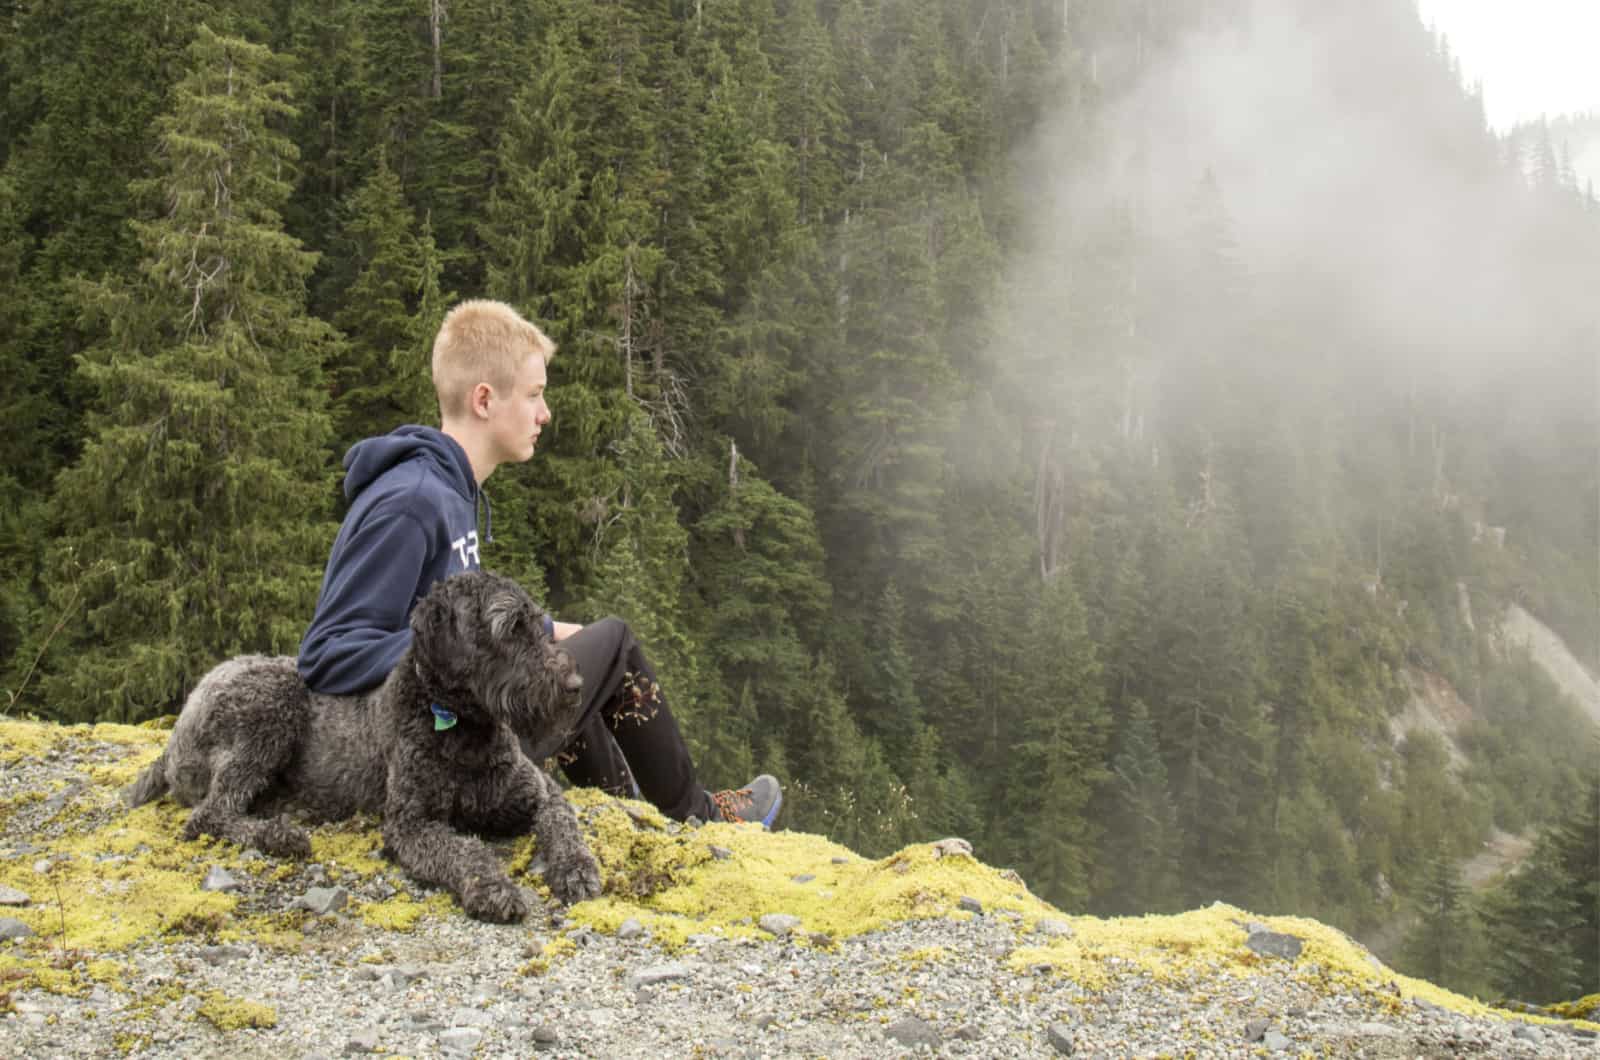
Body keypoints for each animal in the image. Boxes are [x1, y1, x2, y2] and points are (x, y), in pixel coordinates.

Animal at [124, 570, 604, 928]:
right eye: (509, 629)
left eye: (536, 623)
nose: (574, 685)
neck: (462, 729)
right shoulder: (411, 824)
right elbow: (465, 850)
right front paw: (492, 887)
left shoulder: (539, 792)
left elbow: (562, 823)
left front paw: (576, 868)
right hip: (270, 707)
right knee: (208, 815)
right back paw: (280, 835)